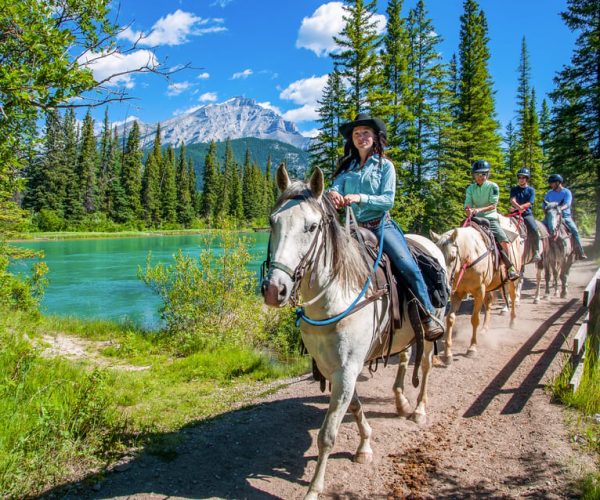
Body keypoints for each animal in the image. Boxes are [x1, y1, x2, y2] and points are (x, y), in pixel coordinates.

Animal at [262, 165, 446, 500]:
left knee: (425, 367)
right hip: (404, 335)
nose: (274, 289)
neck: (336, 296)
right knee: (403, 361)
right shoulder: (335, 367)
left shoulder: (347, 368)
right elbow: (356, 406)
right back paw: (401, 403)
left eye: (311, 227)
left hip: (430, 331)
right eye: (272, 221)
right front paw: (364, 447)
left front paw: (314, 488)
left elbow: (328, 433)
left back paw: (419, 410)